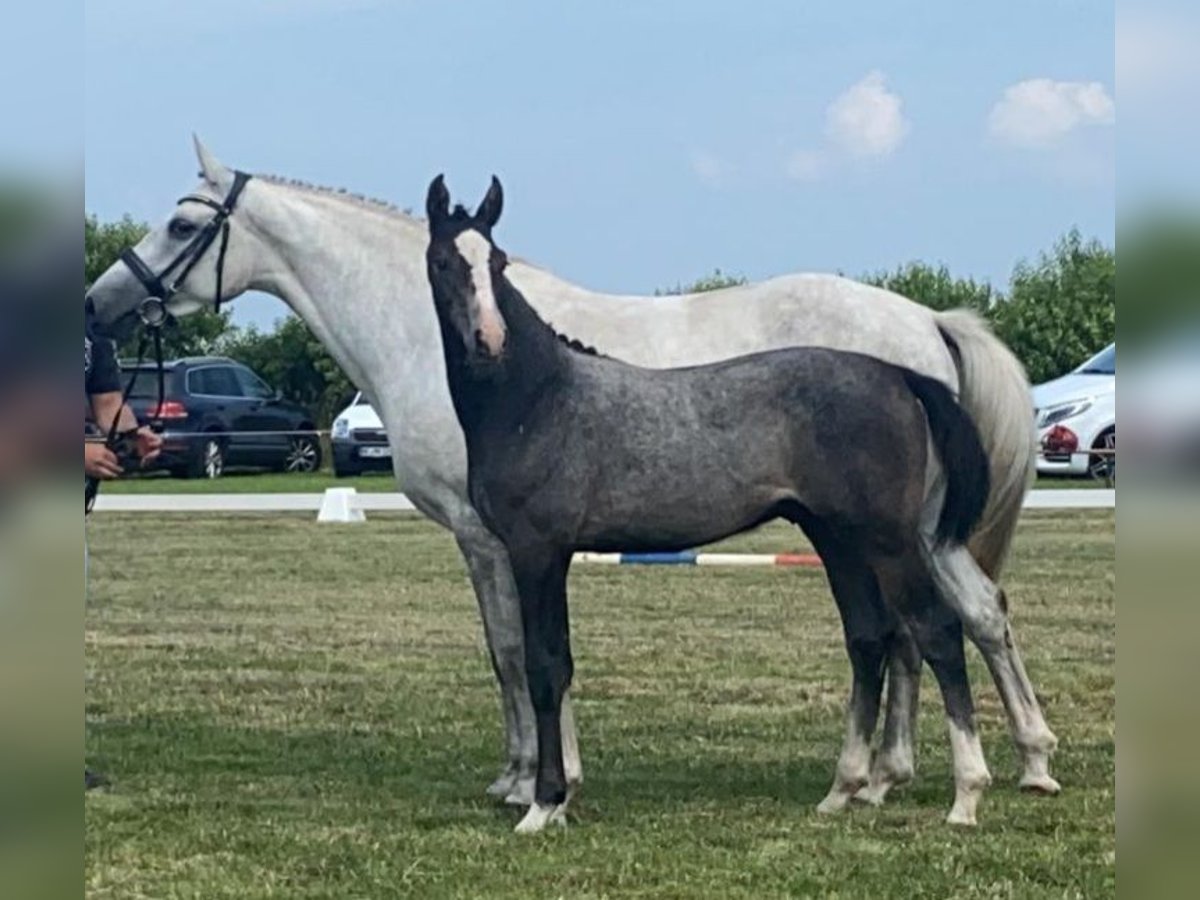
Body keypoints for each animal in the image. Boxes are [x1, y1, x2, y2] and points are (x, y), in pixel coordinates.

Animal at [422, 176, 1051, 840]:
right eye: (443, 262)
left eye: (496, 262)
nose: (489, 342)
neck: (537, 400)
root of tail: (902, 376)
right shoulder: (543, 556)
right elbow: (555, 662)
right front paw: (558, 797)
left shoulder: (537, 551)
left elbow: (543, 666)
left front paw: (543, 804)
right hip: (839, 539)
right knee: (870, 638)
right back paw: (846, 787)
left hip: (891, 541)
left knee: (936, 630)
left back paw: (966, 793)